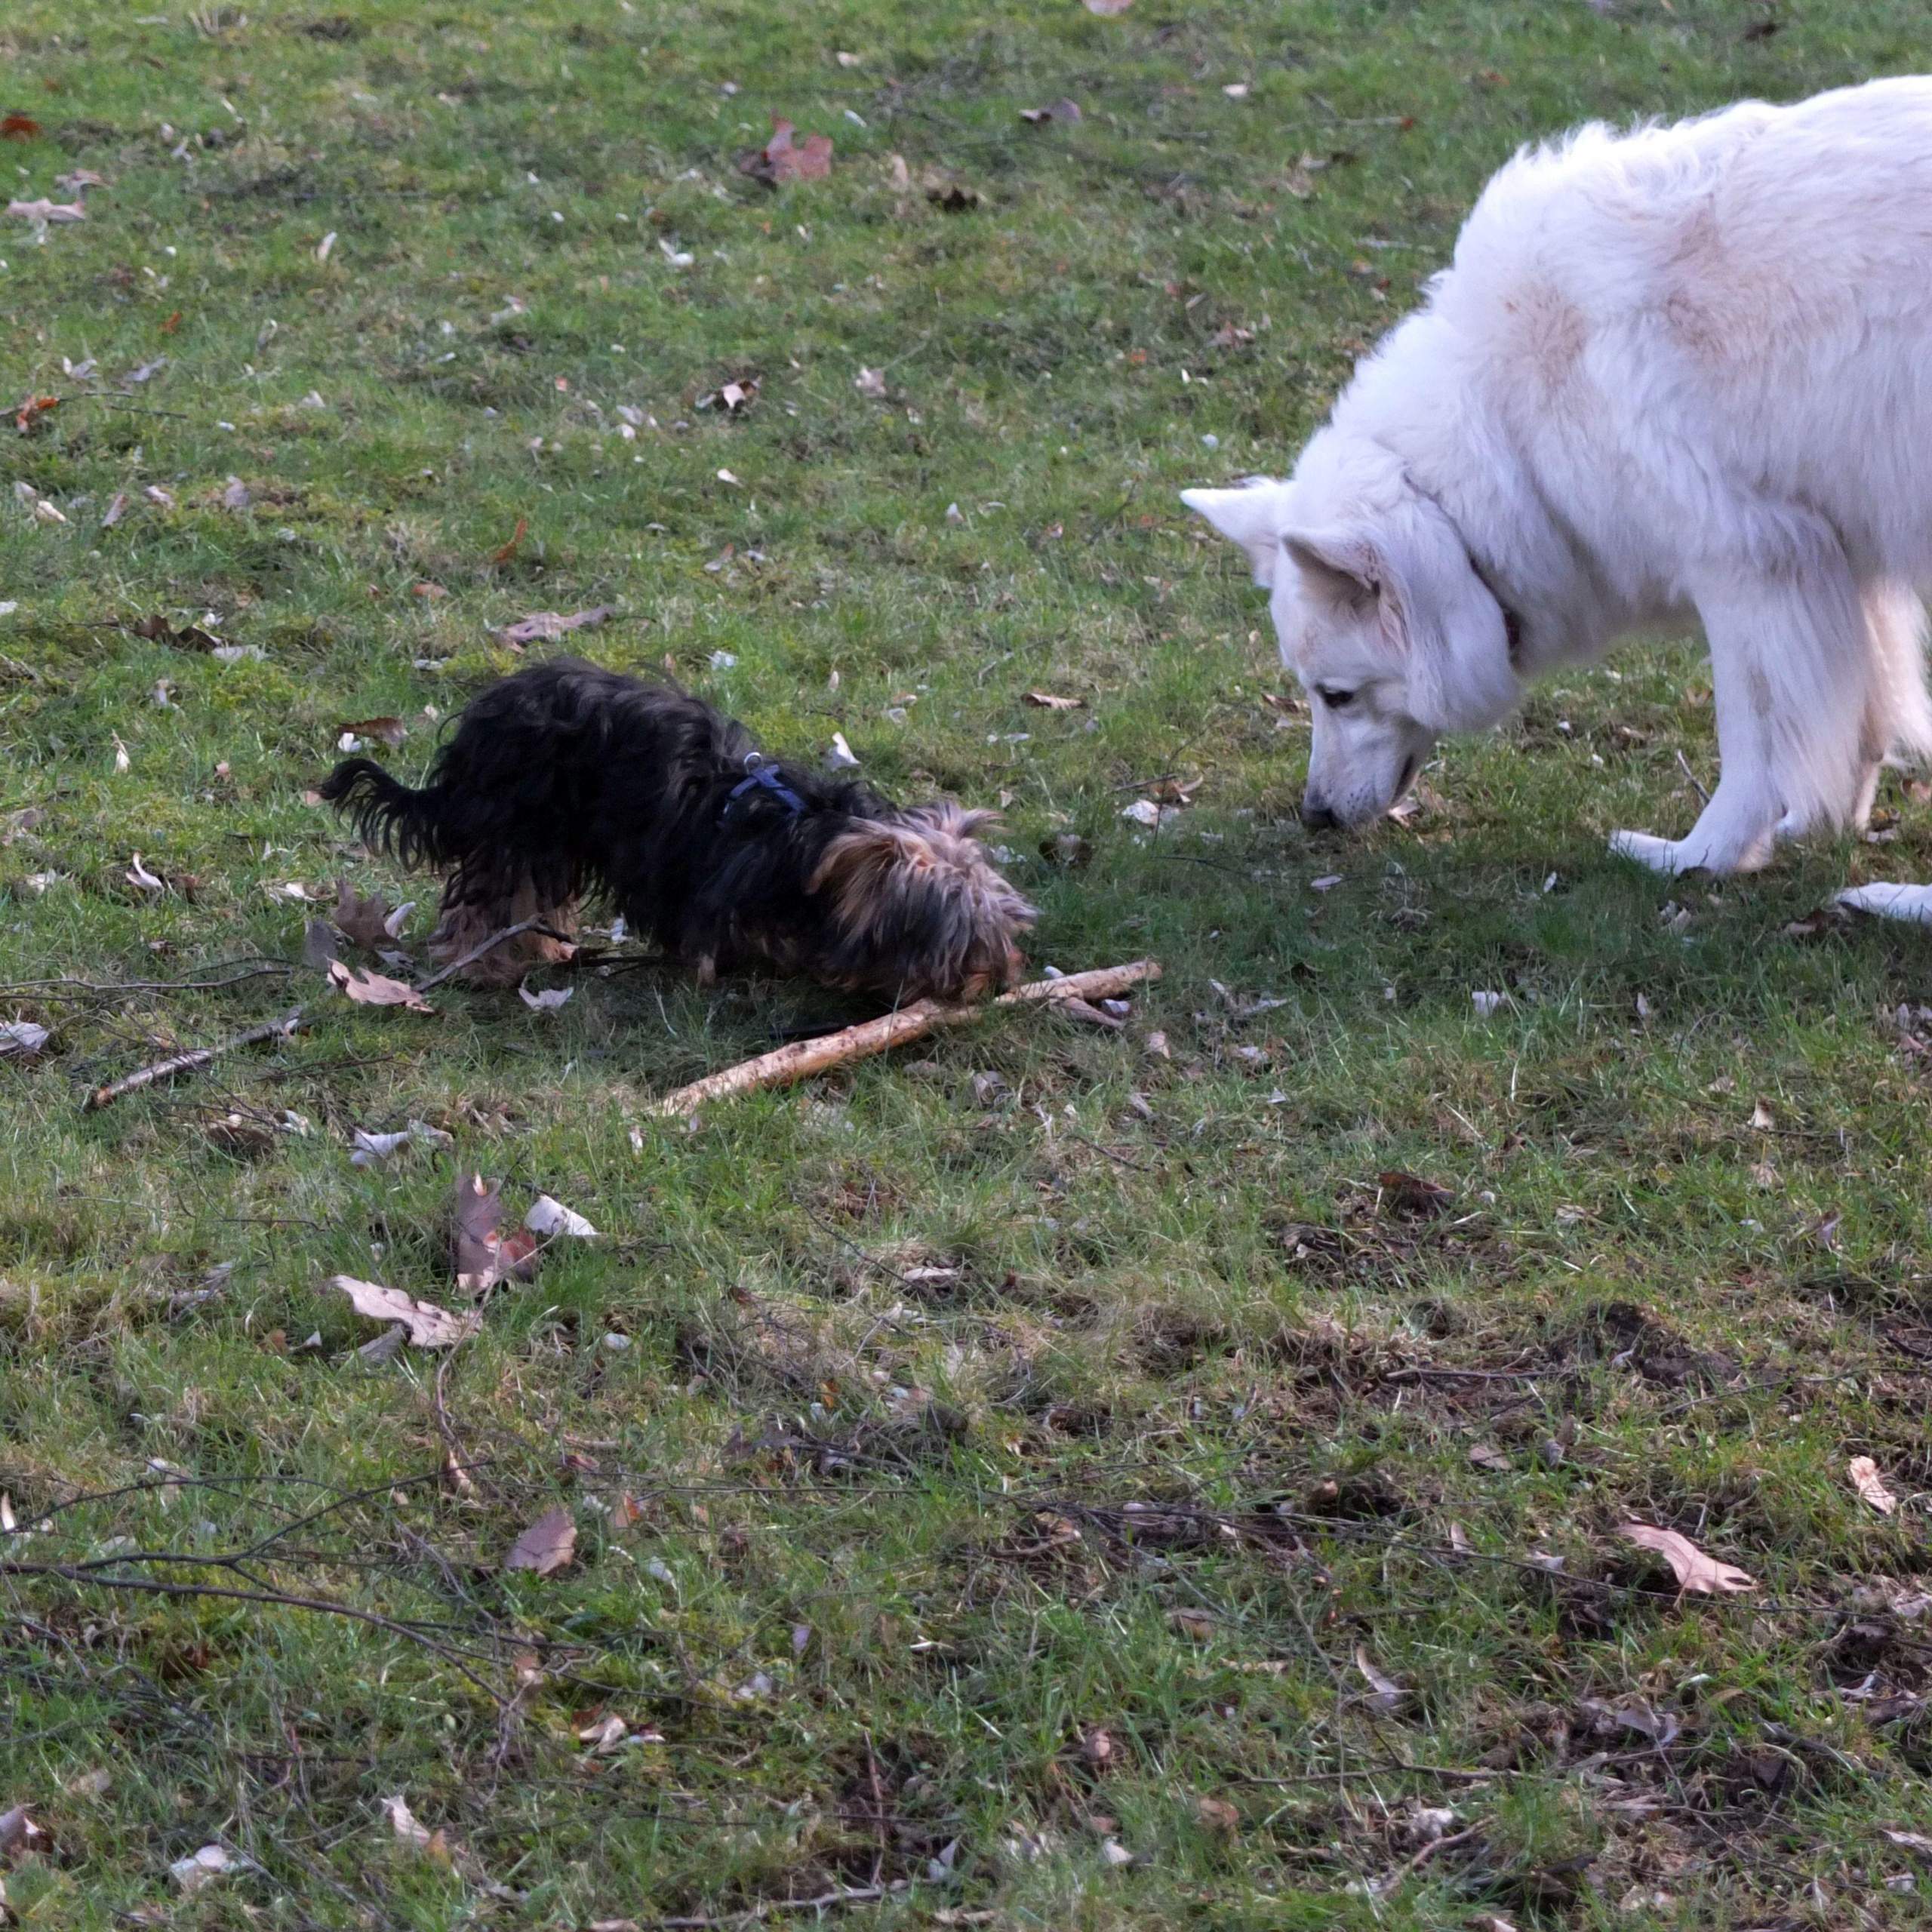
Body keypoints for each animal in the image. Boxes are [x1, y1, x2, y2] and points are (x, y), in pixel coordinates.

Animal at [325, 657, 1035, 1004]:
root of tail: (480, 727)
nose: (997, 981)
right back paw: (488, 964)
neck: (800, 840)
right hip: (518, 823)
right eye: (959, 940)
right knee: (487, 898)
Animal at [1182, 73, 1932, 888]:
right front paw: (1831, 830)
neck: (1508, 421)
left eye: (1337, 695)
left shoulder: (1751, 569)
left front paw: (1699, 857)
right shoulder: (1841, 559)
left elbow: (1752, 748)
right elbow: (1864, 719)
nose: (1313, 815)